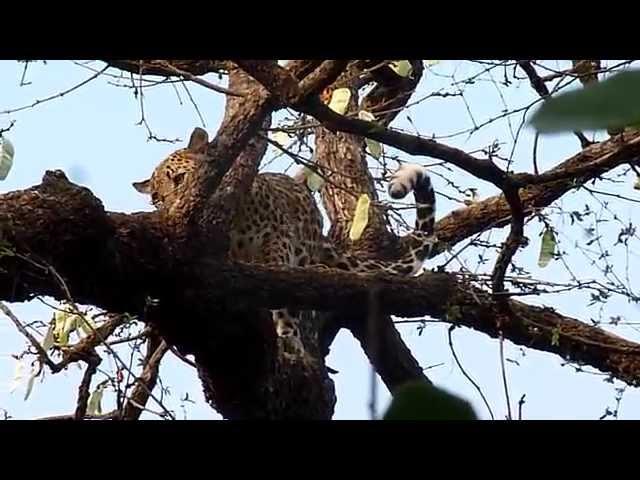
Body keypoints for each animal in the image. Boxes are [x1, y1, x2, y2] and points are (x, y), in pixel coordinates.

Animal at [132, 127, 438, 344]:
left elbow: (277, 267)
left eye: (179, 178)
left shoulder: (278, 234)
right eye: (157, 198)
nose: (170, 207)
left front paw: (287, 331)